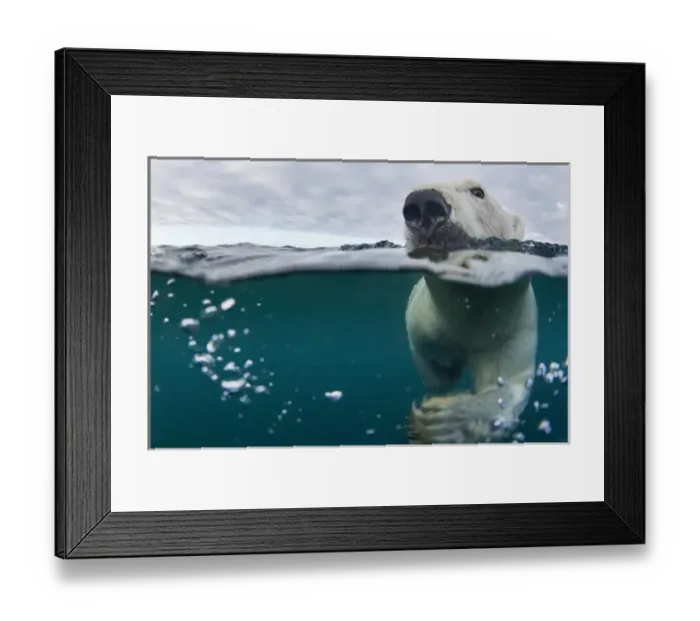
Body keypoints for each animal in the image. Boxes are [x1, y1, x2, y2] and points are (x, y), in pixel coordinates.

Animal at [401, 178, 538, 444]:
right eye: (413, 190)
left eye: (477, 191)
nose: (423, 203)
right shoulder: (425, 320)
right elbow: (425, 358)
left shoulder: (511, 326)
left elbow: (509, 384)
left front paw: (443, 421)